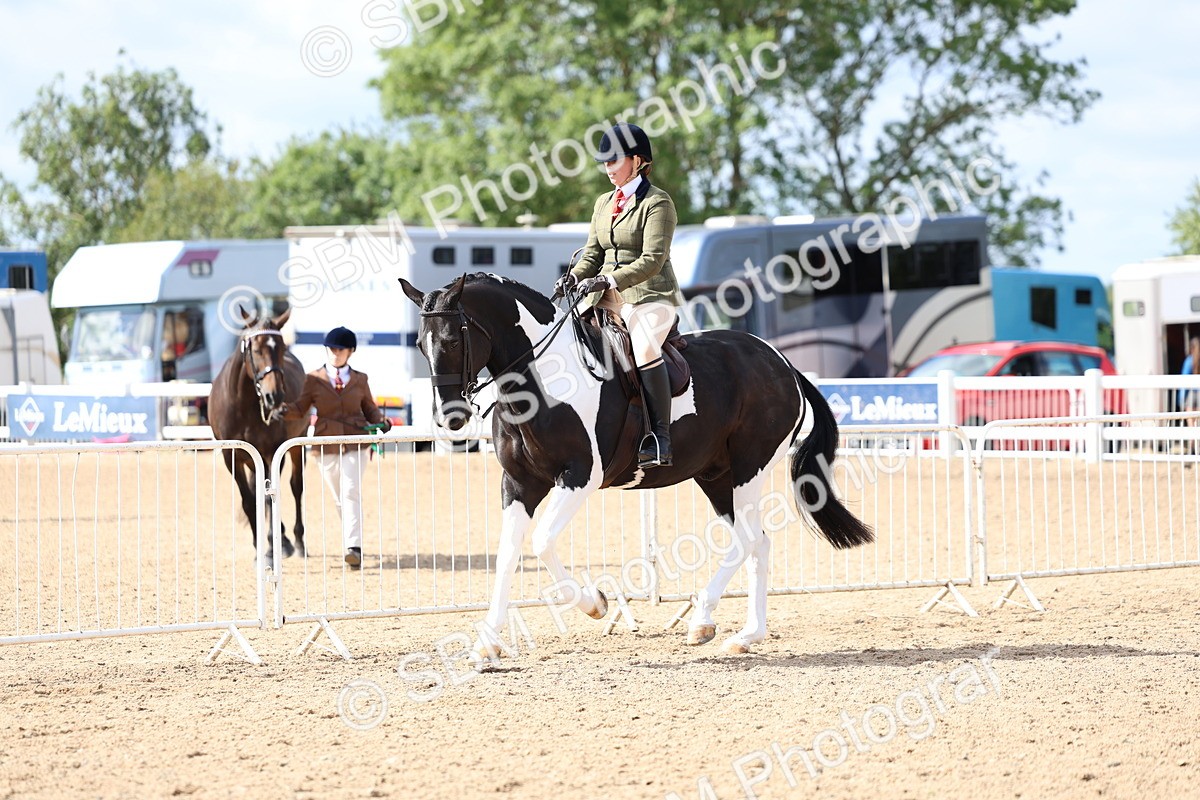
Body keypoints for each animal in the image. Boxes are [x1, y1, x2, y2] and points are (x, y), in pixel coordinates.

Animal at [208, 307, 308, 564]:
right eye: (255, 350)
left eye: (282, 348)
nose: (275, 396)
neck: (241, 404)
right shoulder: (232, 457)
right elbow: (248, 500)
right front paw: (258, 547)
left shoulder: (273, 452)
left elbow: (268, 497)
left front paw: (272, 548)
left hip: (296, 446)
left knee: (295, 487)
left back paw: (296, 542)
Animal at [399, 272, 873, 655]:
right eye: (421, 344)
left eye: (454, 339)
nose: (450, 418)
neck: (542, 381)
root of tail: (782, 363)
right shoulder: (518, 484)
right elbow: (507, 556)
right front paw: (487, 643)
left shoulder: (579, 477)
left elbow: (542, 542)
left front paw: (595, 603)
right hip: (716, 476)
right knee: (756, 542)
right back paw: (740, 633)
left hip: (748, 469)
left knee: (747, 541)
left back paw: (707, 622)